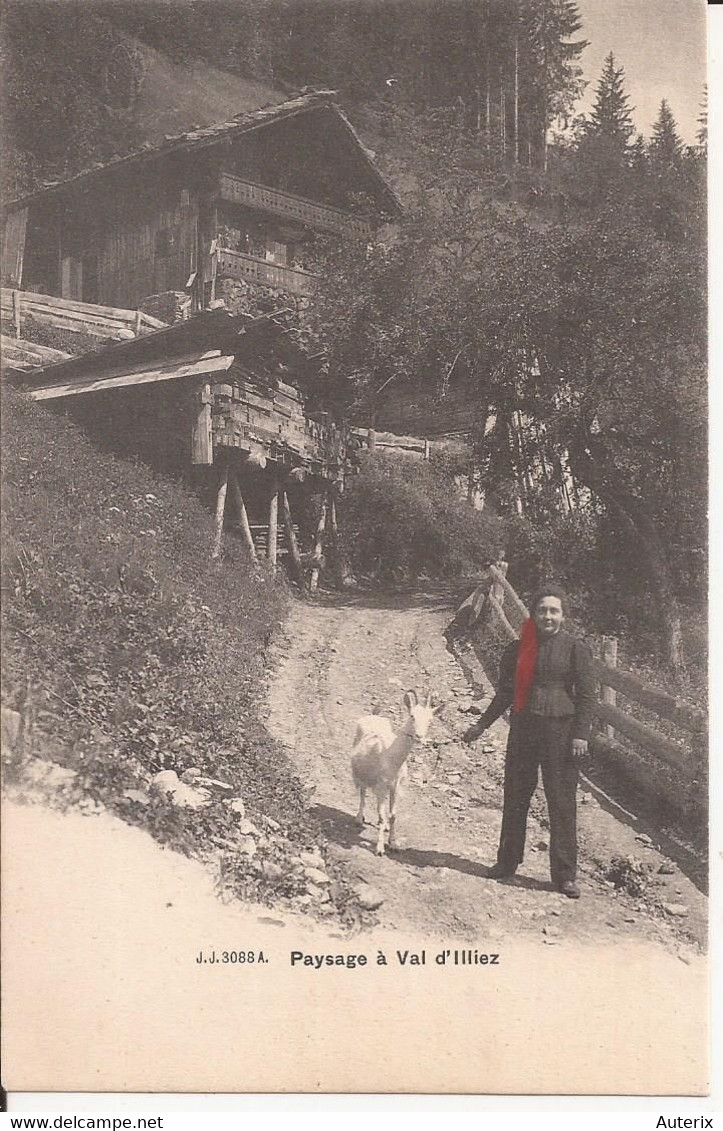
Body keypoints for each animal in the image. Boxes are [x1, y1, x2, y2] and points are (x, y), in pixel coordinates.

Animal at [353, 687, 441, 855]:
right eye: (412, 716)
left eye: (430, 720)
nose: (419, 736)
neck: (391, 755)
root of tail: (374, 715)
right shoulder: (381, 786)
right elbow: (381, 816)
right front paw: (380, 848)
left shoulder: (395, 786)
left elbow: (393, 815)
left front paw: (393, 843)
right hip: (362, 775)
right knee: (362, 793)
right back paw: (359, 818)